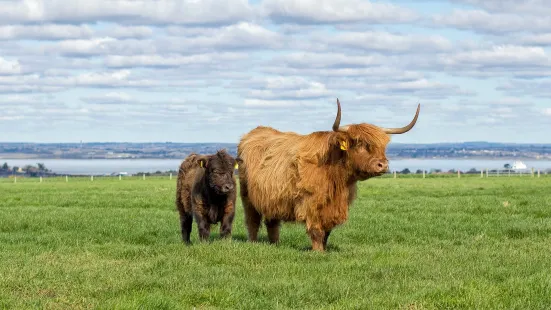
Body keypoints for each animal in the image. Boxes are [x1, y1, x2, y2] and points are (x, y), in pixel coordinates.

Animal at [235, 99, 420, 252]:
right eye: (359, 143)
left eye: (382, 146)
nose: (383, 165)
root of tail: (253, 133)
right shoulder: (311, 202)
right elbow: (316, 230)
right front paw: (318, 252)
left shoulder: (334, 206)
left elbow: (327, 231)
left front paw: (324, 249)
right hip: (247, 195)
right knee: (252, 220)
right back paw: (253, 243)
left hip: (272, 196)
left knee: (272, 222)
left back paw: (275, 244)